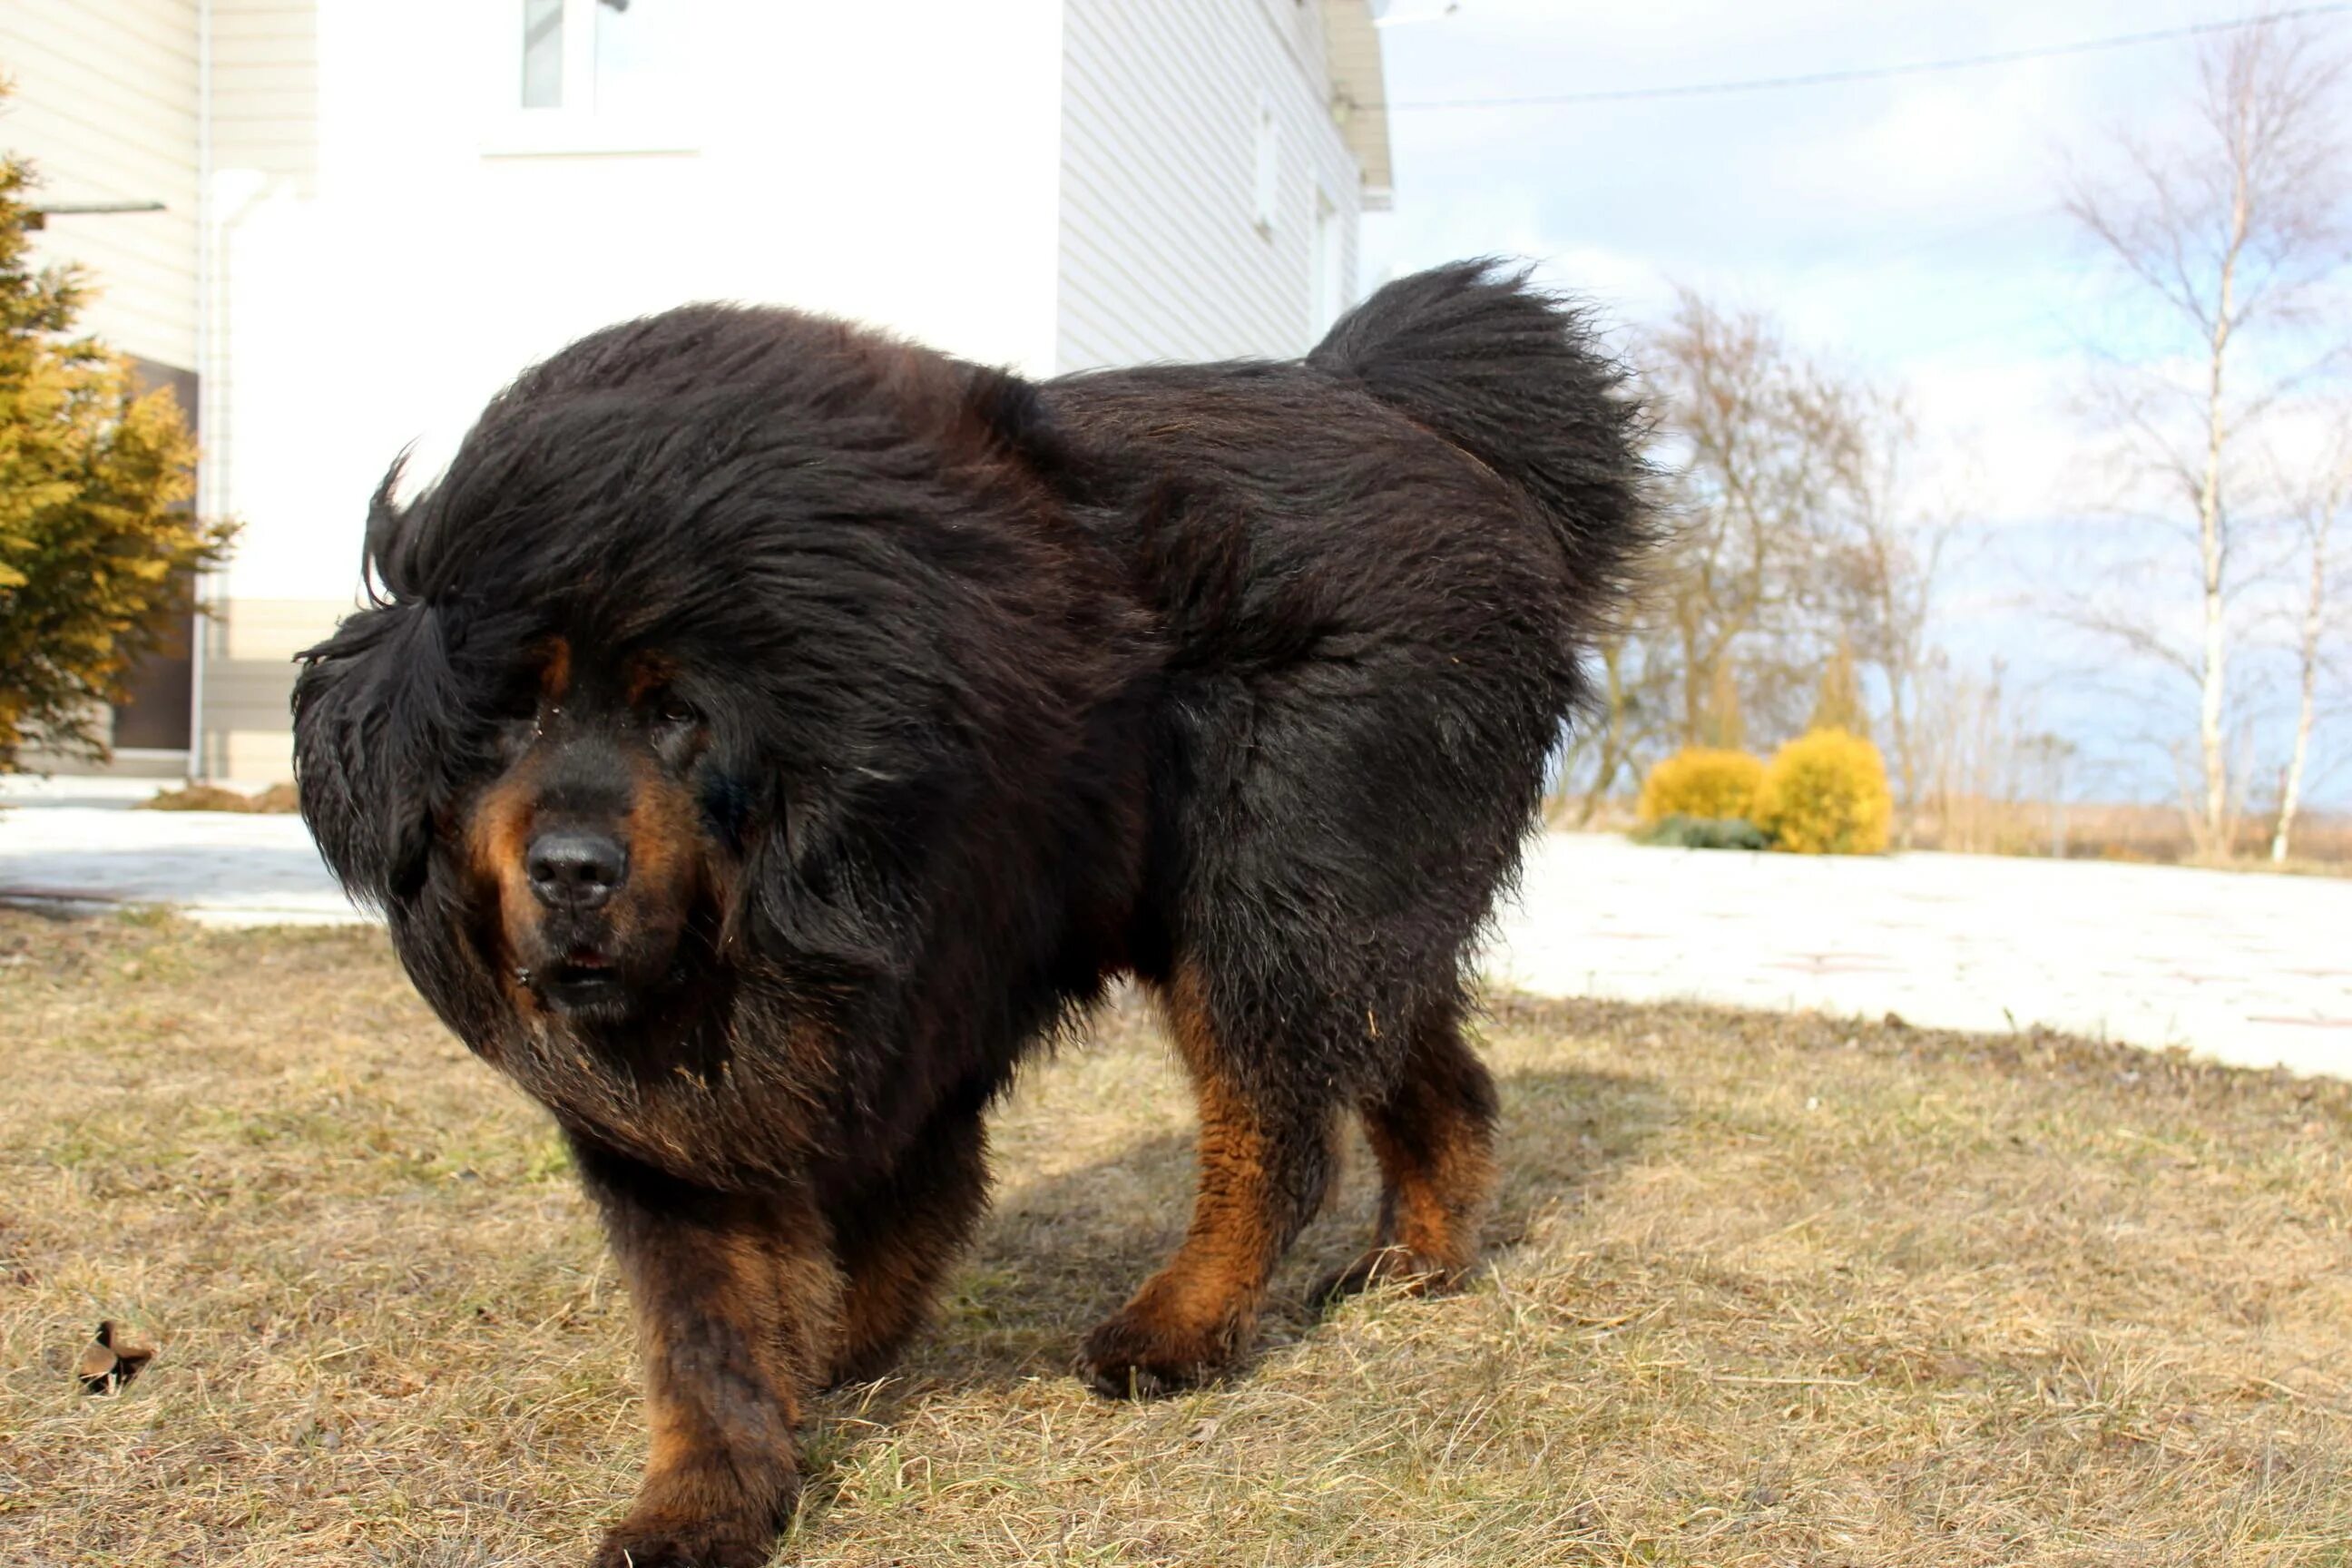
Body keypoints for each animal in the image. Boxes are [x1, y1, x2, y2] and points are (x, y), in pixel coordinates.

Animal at [294, 263, 1655, 1561]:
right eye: (512, 715)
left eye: (677, 714)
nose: (574, 869)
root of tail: (1439, 435)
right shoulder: (667, 1110)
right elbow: (707, 1317)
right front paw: (708, 1495)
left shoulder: (922, 997)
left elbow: (889, 1201)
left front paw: (835, 1355)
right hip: (1336, 909)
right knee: (1427, 1069)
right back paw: (1414, 1265)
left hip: (1267, 894)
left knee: (1273, 1132)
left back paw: (1178, 1329)